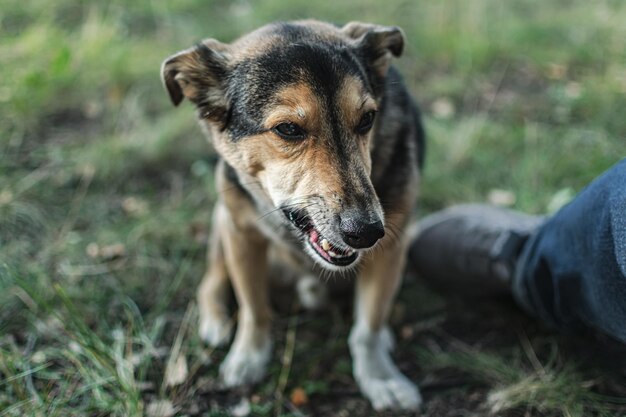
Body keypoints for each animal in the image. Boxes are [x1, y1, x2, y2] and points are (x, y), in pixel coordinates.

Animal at [161, 20, 424, 410]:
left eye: (367, 119)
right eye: (288, 129)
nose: (366, 232)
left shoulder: (393, 245)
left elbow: (368, 327)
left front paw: (381, 378)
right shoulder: (241, 232)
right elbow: (254, 307)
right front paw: (248, 357)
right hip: (222, 220)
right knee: (211, 280)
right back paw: (216, 322)